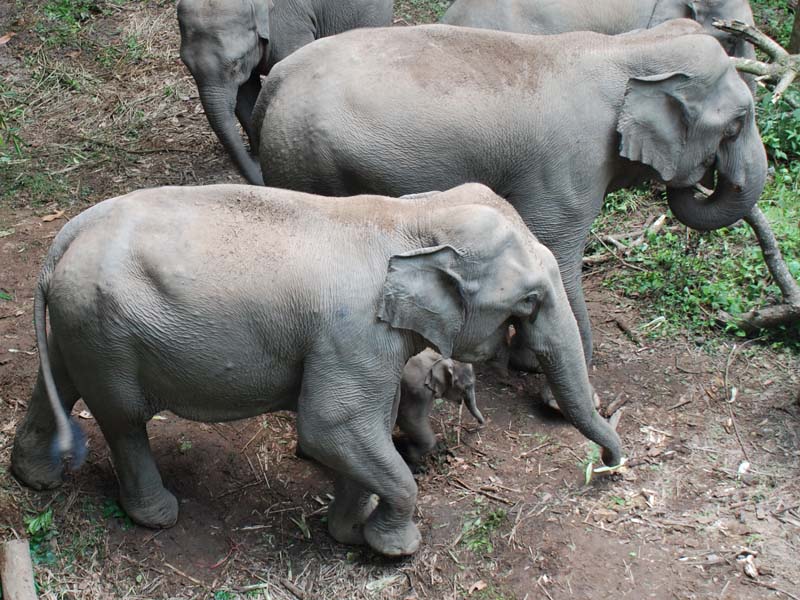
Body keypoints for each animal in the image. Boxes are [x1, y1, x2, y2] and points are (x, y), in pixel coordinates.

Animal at [14, 183, 624, 556]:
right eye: (530, 300)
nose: (608, 467)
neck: (412, 217)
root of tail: (66, 234)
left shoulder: (369, 345)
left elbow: (362, 429)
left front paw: (348, 534)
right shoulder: (353, 333)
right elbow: (332, 427)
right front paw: (395, 548)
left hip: (80, 322)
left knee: (59, 386)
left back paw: (34, 479)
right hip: (107, 330)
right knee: (123, 420)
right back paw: (158, 516)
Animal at [255, 22, 768, 370]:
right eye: (737, 122)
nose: (705, 177)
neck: (627, 47)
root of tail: (274, 80)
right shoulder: (571, 160)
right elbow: (557, 247)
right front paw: (550, 369)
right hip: (308, 160)